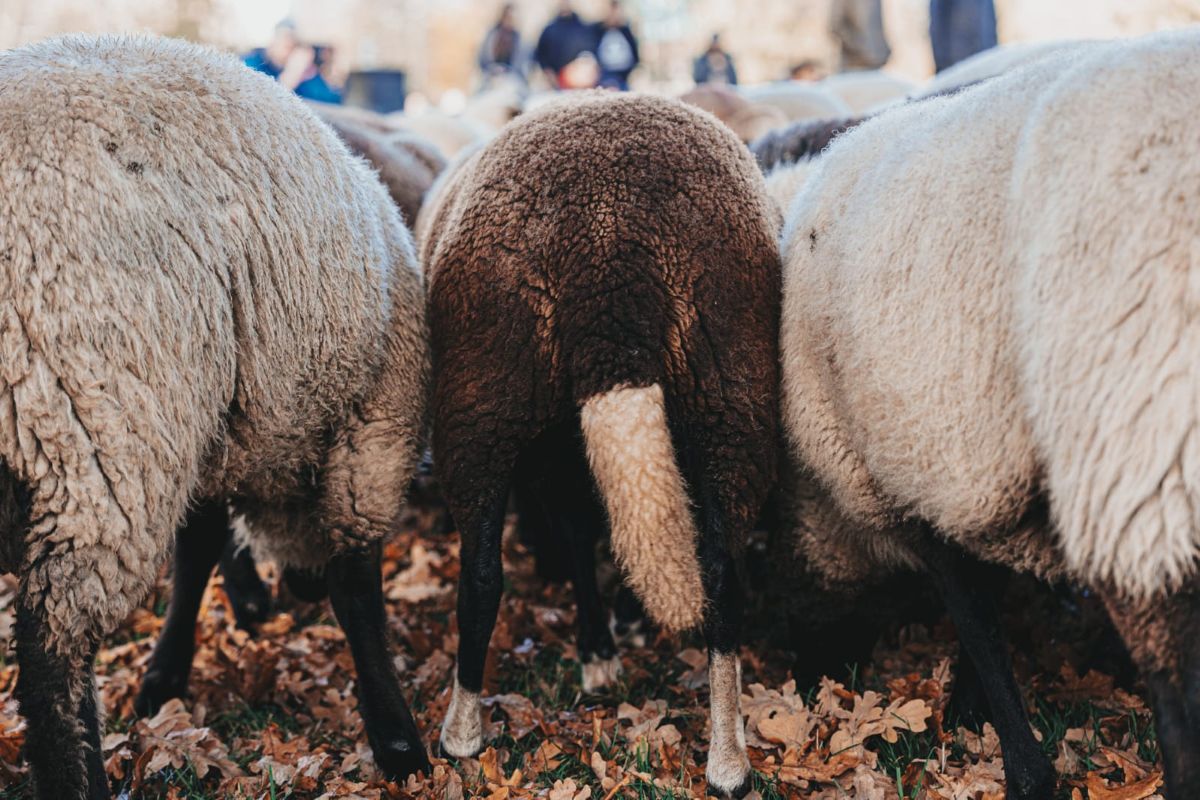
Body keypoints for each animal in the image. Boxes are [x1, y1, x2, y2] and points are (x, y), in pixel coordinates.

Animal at [0, 34, 431, 798]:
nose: (297, 586)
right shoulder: (370, 429)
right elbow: (357, 586)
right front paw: (397, 736)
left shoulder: (213, 431)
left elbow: (198, 547)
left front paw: (164, 675)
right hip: (98, 439)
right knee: (56, 654)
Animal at [421, 91, 780, 797]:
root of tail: (610, 240)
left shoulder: (546, 455)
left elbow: (574, 542)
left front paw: (598, 650)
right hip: (732, 388)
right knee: (721, 574)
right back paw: (728, 760)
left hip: (481, 393)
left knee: (480, 576)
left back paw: (461, 734)